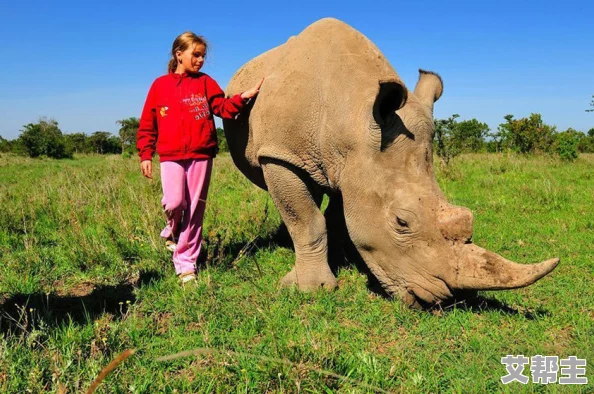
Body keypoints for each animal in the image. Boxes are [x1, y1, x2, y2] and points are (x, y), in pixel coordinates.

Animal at [221, 18, 556, 308]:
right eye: (401, 222)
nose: (442, 300)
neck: (350, 117)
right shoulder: (280, 154)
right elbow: (307, 220)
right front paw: (311, 289)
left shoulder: (352, 165)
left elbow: (340, 214)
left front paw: (346, 257)